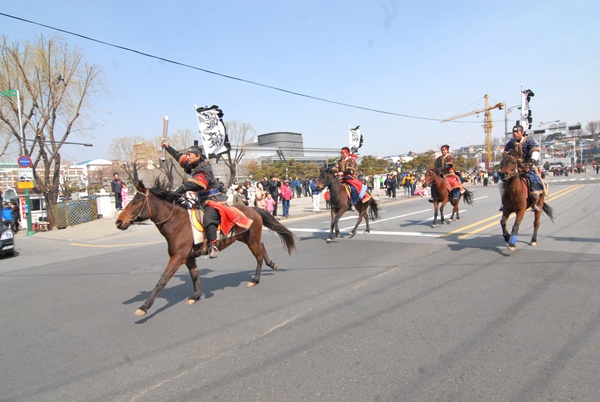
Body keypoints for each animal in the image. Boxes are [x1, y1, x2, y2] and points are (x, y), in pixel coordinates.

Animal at [114, 180, 296, 318]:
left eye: (136, 202)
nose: (118, 222)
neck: (177, 223)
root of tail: (252, 208)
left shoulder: (177, 257)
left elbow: (162, 280)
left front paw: (144, 307)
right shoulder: (188, 257)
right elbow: (194, 275)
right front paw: (195, 295)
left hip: (251, 239)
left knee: (258, 256)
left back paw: (255, 279)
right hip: (246, 238)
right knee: (262, 247)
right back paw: (271, 264)